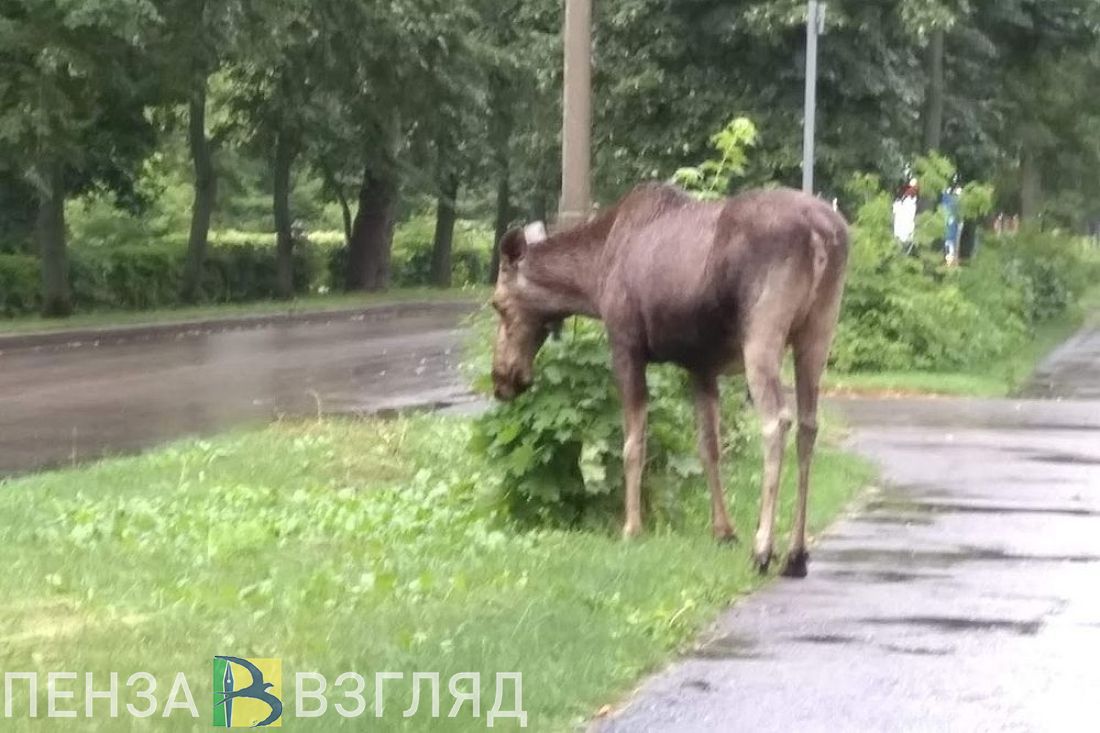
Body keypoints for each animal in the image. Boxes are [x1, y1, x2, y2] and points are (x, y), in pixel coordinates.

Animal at [492, 183, 849, 576]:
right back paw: (796, 553)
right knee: (808, 425)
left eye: (498, 304)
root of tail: (822, 232)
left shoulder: (626, 344)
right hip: (817, 331)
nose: (502, 378)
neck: (592, 277)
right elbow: (709, 448)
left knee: (777, 421)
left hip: (762, 330)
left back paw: (763, 549)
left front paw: (632, 528)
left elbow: (633, 445)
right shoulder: (702, 367)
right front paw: (723, 531)